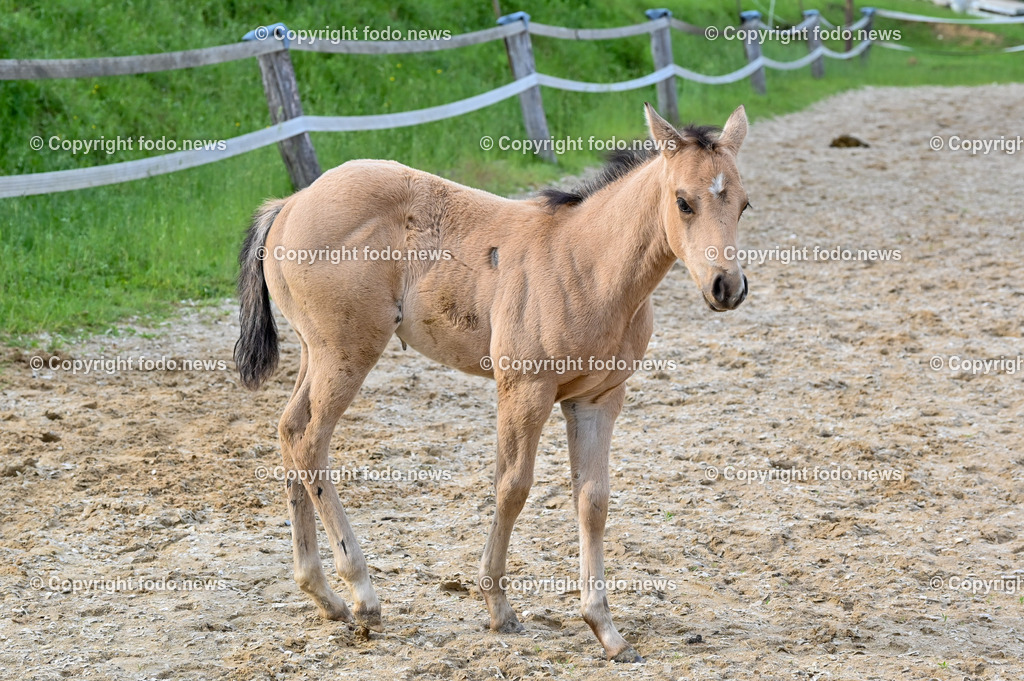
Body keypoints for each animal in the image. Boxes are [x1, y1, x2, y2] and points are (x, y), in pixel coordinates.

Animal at [234, 103, 750, 662]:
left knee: (289, 430)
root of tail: (290, 203)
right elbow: (513, 488)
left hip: (316, 352)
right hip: (347, 353)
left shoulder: (597, 399)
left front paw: (607, 631)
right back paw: (362, 595)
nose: (727, 286)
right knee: (310, 443)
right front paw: (500, 610)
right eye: (683, 202)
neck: (588, 266)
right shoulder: (524, 390)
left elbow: (593, 501)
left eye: (744, 205)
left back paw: (323, 594)